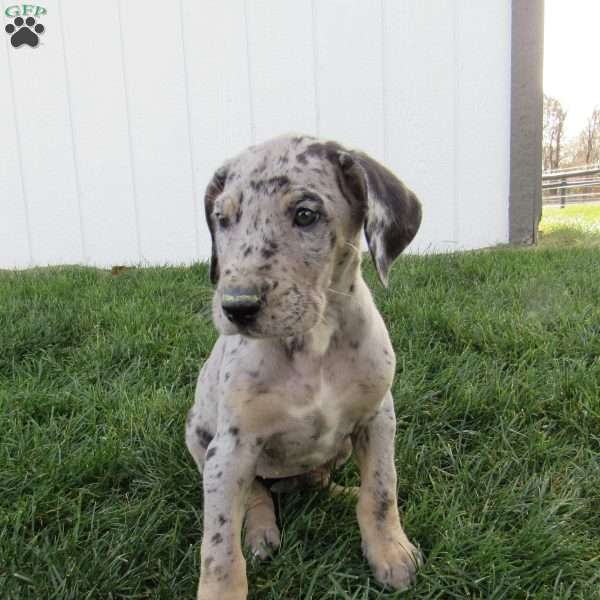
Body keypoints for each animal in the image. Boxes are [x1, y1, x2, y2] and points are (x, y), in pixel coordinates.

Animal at [185, 134, 424, 596]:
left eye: (305, 214)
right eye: (223, 219)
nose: (237, 307)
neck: (314, 344)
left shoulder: (379, 417)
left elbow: (381, 490)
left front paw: (389, 551)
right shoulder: (231, 448)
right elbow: (219, 546)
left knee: (322, 479)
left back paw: (341, 492)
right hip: (201, 442)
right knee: (256, 495)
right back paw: (261, 532)